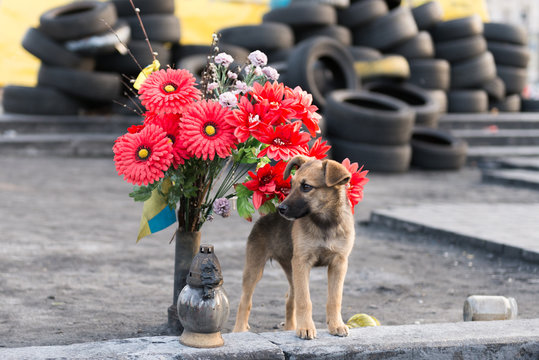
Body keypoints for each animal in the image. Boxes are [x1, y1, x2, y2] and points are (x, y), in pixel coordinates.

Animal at [234, 155, 356, 340]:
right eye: (291, 184)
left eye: (306, 187)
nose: (281, 209)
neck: (324, 223)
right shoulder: (302, 262)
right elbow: (304, 300)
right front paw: (306, 328)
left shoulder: (339, 263)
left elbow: (334, 298)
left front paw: (336, 325)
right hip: (255, 269)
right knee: (245, 301)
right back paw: (239, 331)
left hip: (291, 270)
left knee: (290, 298)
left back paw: (291, 327)